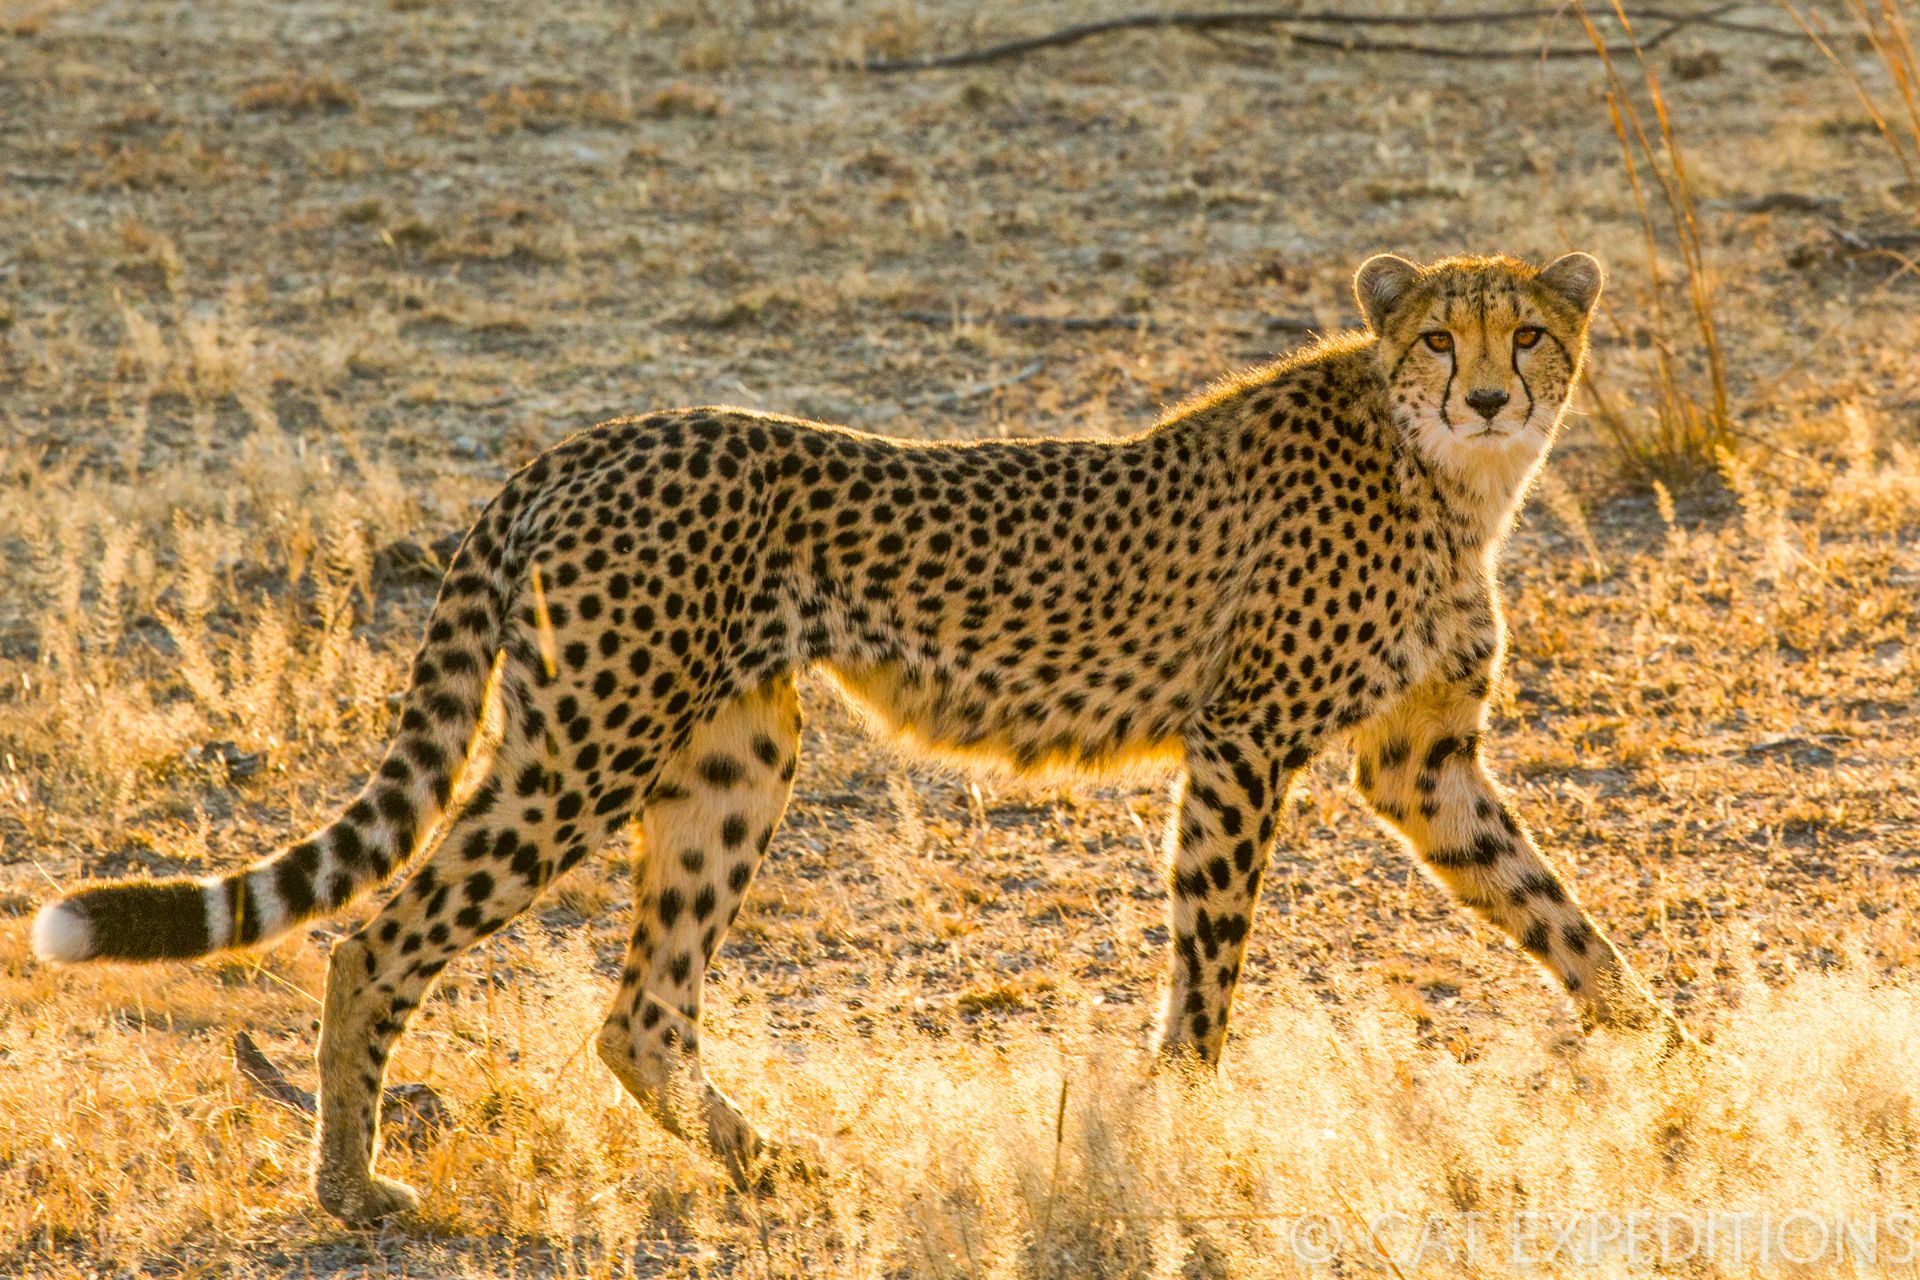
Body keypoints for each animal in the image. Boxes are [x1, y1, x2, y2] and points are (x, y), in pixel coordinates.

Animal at [33, 249, 1681, 1220]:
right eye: (1438, 336)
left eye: (1532, 334)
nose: (1487, 393)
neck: (1446, 479)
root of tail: (586, 439)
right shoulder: (1242, 746)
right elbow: (1208, 973)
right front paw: (1187, 1121)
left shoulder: (1424, 763)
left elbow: (1564, 916)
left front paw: (1676, 1057)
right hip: (590, 745)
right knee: (379, 937)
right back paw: (350, 1186)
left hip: (729, 759)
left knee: (639, 1013)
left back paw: (779, 1167)